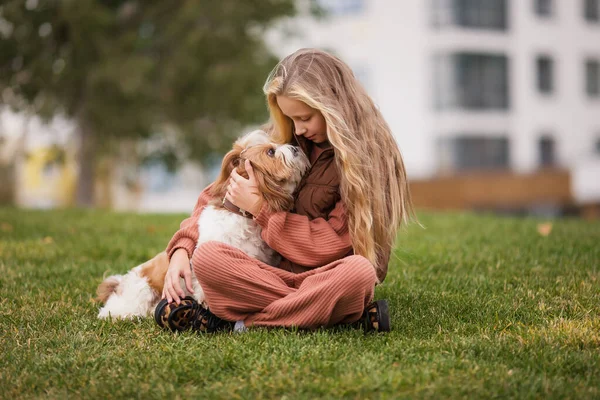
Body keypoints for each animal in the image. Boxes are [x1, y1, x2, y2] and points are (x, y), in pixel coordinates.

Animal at [95, 130, 310, 318]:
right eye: (271, 152)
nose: (296, 148)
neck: (244, 216)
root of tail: (120, 283)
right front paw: (207, 300)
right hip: (141, 291)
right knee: (115, 310)